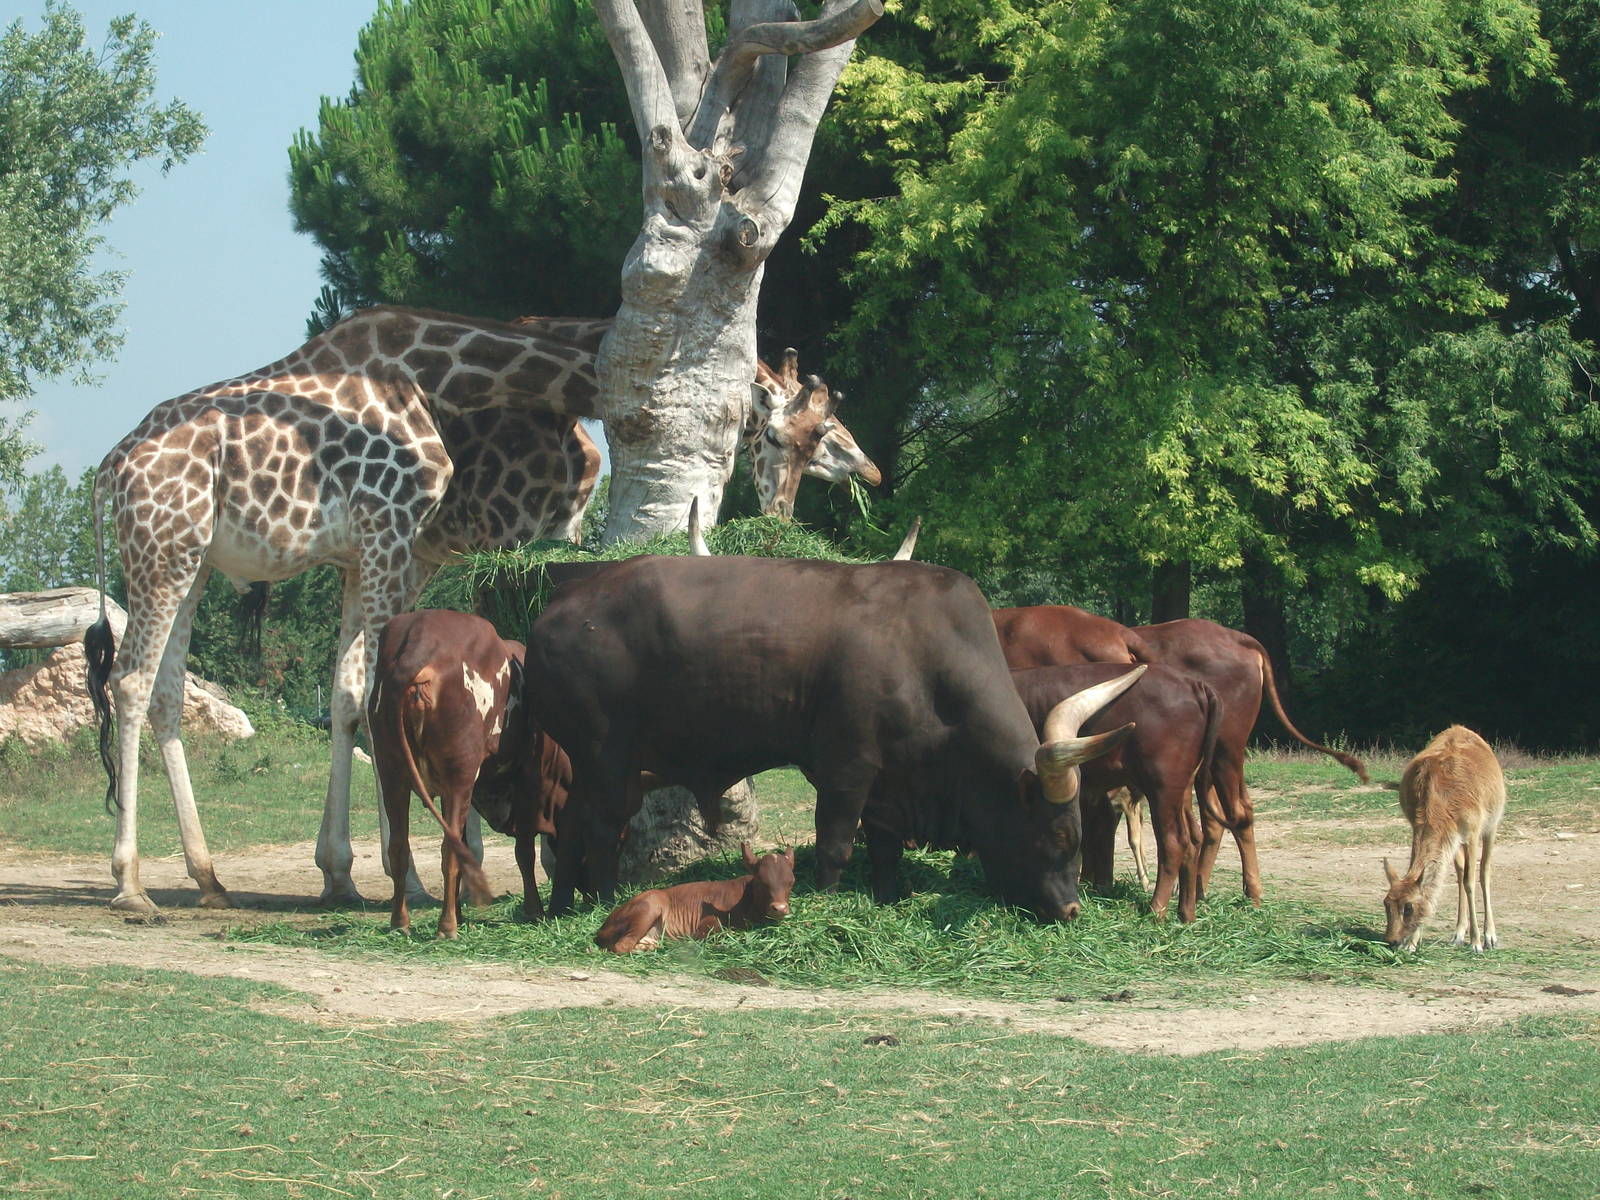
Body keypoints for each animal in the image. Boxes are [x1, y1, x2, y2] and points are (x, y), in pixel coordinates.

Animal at [368, 609, 570, 937]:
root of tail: (417, 646)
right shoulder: (527, 777)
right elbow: (524, 851)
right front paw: (534, 910)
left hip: (392, 772)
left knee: (400, 846)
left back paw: (401, 923)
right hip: (459, 776)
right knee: (450, 849)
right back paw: (447, 926)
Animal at [522, 556, 1146, 920]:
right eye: (1060, 836)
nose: (1071, 910)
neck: (926, 653)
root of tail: (560, 605)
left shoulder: (892, 785)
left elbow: (887, 848)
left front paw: (890, 896)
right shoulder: (847, 768)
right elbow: (837, 844)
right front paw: (823, 900)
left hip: (603, 767)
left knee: (572, 825)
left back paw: (559, 906)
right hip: (606, 756)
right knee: (600, 829)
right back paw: (603, 900)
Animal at [596, 844, 797, 953]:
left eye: (791, 882)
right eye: (761, 882)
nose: (779, 908)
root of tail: (602, 928)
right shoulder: (705, 925)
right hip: (652, 903)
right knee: (622, 945)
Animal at [1011, 664, 1222, 922]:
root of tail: (1194, 685)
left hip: (1162, 785)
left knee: (1174, 842)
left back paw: (1156, 910)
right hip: (1181, 790)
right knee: (1193, 838)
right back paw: (1186, 914)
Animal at [1383, 725, 1505, 953]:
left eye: (1409, 907)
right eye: (1386, 903)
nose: (1392, 940)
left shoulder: (1473, 830)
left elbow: (1470, 882)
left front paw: (1476, 943)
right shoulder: (1422, 828)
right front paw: (1412, 944)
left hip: (1492, 823)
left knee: (1484, 871)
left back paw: (1490, 937)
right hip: (1456, 841)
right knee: (1460, 870)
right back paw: (1458, 934)